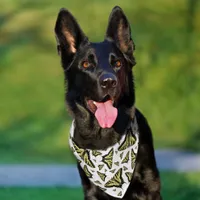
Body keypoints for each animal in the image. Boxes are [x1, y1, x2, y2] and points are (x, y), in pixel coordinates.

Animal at [54, 6, 162, 200]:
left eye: (117, 63)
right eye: (86, 64)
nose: (109, 82)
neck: (103, 138)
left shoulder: (150, 186)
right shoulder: (91, 191)